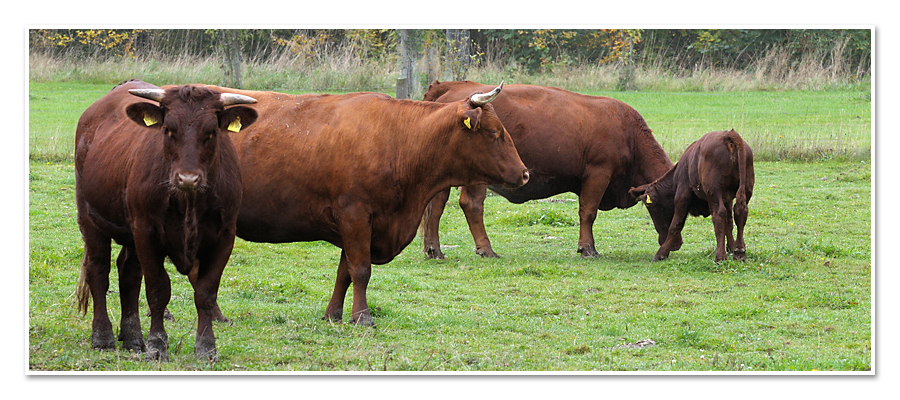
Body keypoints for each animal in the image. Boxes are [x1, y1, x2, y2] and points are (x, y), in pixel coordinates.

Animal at [73, 79, 256, 360]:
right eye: (168, 130)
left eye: (212, 131)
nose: (188, 178)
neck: (189, 202)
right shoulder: (147, 232)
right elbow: (158, 290)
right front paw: (157, 344)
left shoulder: (224, 236)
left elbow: (206, 293)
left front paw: (206, 347)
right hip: (91, 218)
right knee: (99, 271)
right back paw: (103, 336)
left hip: (130, 232)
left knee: (128, 274)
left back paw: (133, 338)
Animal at [418, 80, 672, 260]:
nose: (672, 243)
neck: (630, 135)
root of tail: (451, 86)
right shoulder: (598, 173)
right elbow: (588, 212)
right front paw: (587, 248)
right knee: (472, 205)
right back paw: (486, 249)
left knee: (435, 207)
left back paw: (434, 250)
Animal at [624, 130, 752, 264]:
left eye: (652, 207)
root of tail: (728, 135)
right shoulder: (727, 198)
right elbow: (729, 222)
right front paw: (732, 248)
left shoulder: (682, 193)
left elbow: (675, 224)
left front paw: (661, 253)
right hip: (745, 189)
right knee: (740, 211)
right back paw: (740, 252)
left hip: (714, 192)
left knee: (719, 214)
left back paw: (720, 256)